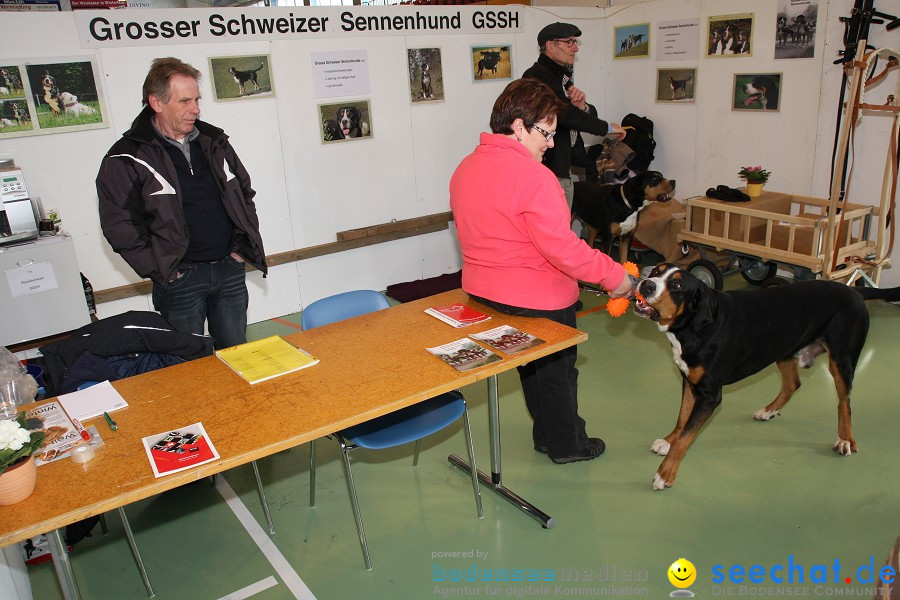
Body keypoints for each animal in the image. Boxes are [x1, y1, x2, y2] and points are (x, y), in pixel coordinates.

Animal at [632, 264, 900, 490]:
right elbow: (682, 420)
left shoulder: (709, 395)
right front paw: (668, 441)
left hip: (841, 360)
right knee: (793, 384)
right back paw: (768, 411)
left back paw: (844, 439)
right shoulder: (690, 382)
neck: (696, 326)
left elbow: (687, 436)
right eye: (655, 271)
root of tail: (852, 289)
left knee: (844, 402)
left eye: (677, 285)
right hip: (785, 350)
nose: (646, 284)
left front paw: (666, 473)